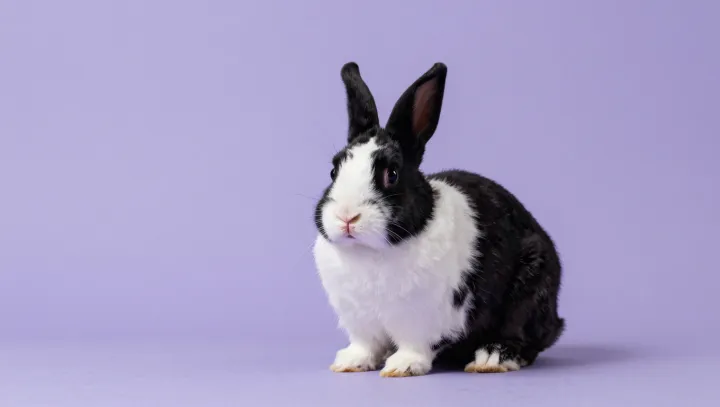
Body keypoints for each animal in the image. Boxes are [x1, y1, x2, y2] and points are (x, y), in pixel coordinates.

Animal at [313, 62, 565, 377]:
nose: (347, 217)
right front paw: (349, 363)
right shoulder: (361, 322)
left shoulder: (423, 318)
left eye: (391, 174)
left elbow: (415, 345)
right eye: (334, 171)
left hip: (530, 293)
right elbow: (365, 345)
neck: (371, 253)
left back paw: (491, 358)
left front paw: (402, 367)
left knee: (528, 337)